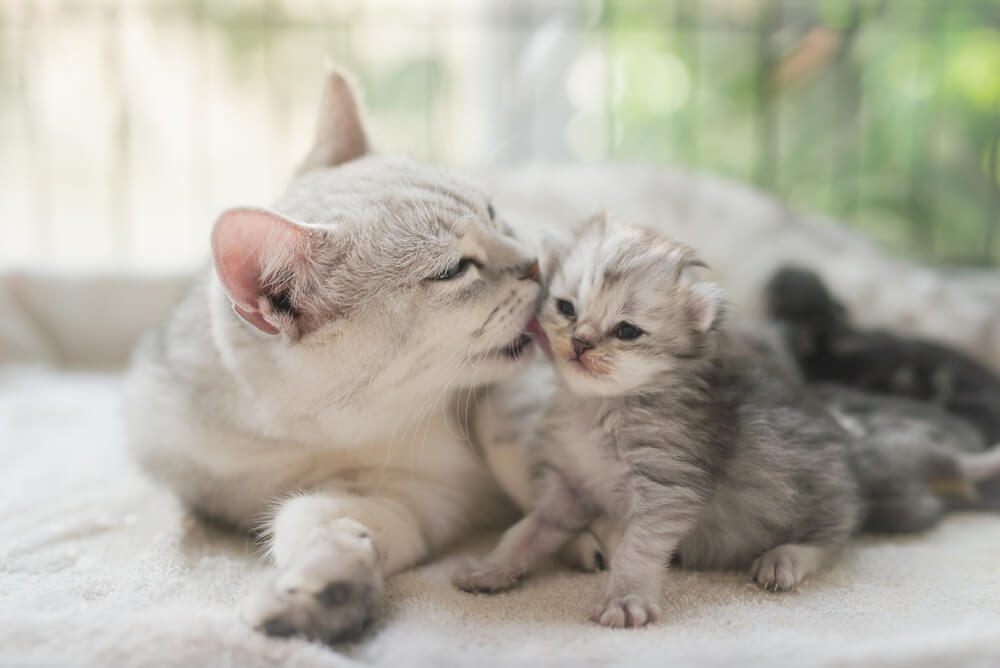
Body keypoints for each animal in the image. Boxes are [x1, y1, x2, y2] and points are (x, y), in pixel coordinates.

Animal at [126, 68, 552, 640]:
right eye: (452, 270)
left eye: (493, 213)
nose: (538, 263)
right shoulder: (411, 499)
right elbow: (313, 521)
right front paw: (323, 587)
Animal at [454, 214, 860, 628]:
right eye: (566, 308)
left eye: (626, 331)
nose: (580, 343)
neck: (599, 410)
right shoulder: (568, 489)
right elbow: (527, 530)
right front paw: (492, 567)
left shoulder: (667, 488)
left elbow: (637, 548)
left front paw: (625, 599)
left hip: (810, 498)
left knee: (834, 543)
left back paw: (784, 559)